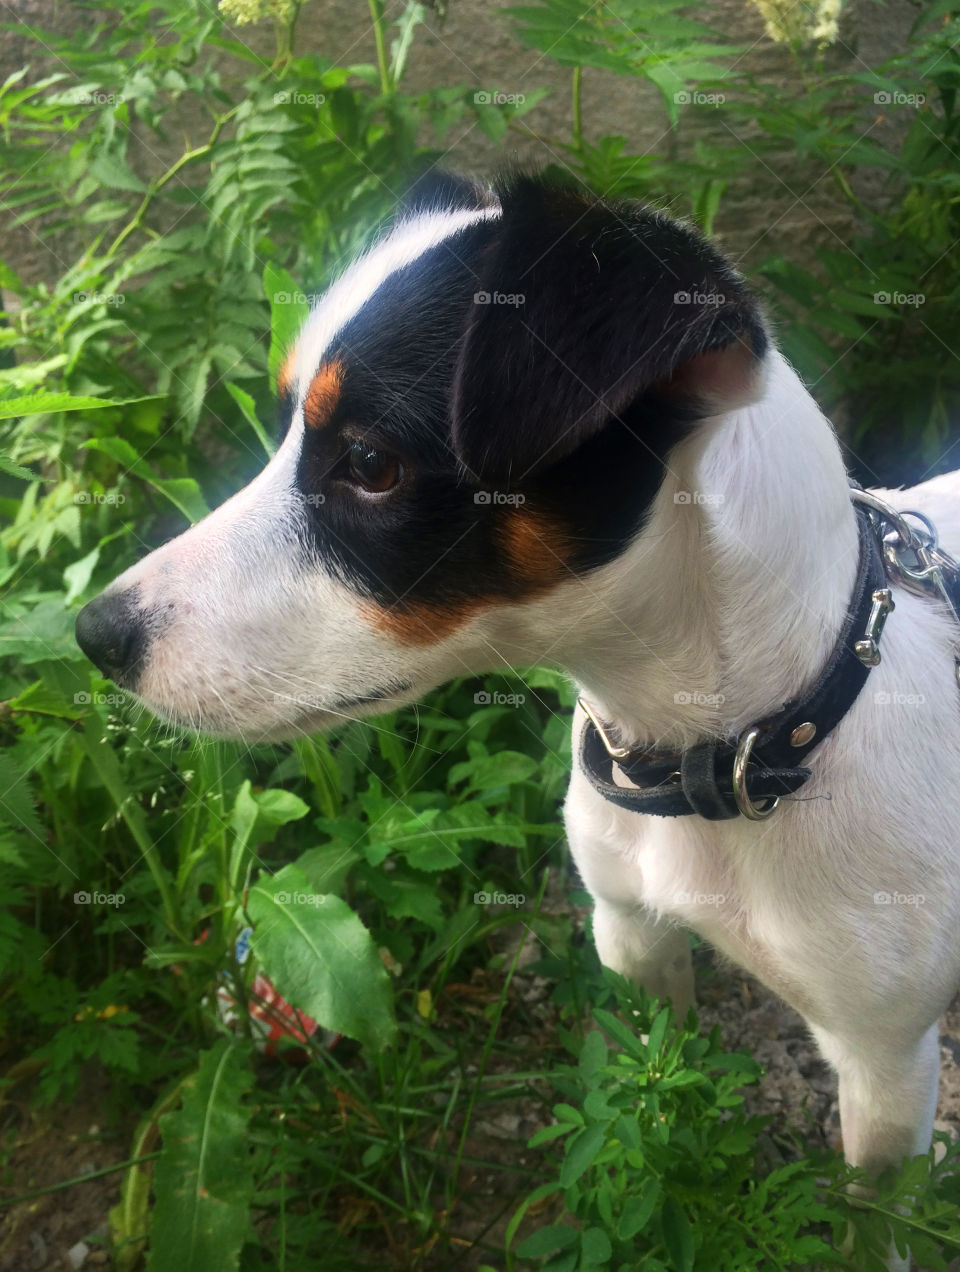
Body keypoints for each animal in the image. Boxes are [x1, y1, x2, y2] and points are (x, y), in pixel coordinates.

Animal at [76, 171, 960, 1261]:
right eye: (285, 430)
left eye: (370, 460)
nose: (96, 634)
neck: (735, 751)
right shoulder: (631, 936)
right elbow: (652, 1097)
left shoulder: (886, 1069)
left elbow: (868, 1222)